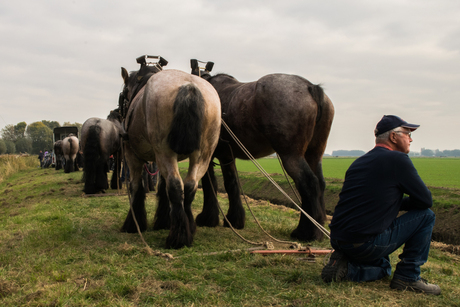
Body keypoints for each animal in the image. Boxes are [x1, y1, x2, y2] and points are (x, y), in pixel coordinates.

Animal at [120, 68, 221, 250]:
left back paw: (178, 237)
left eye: (123, 93)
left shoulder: (132, 156)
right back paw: (188, 227)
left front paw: (133, 224)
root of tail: (189, 85)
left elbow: (136, 187)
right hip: (203, 155)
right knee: (189, 186)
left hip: (164, 152)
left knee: (175, 185)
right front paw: (163, 221)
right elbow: (161, 187)